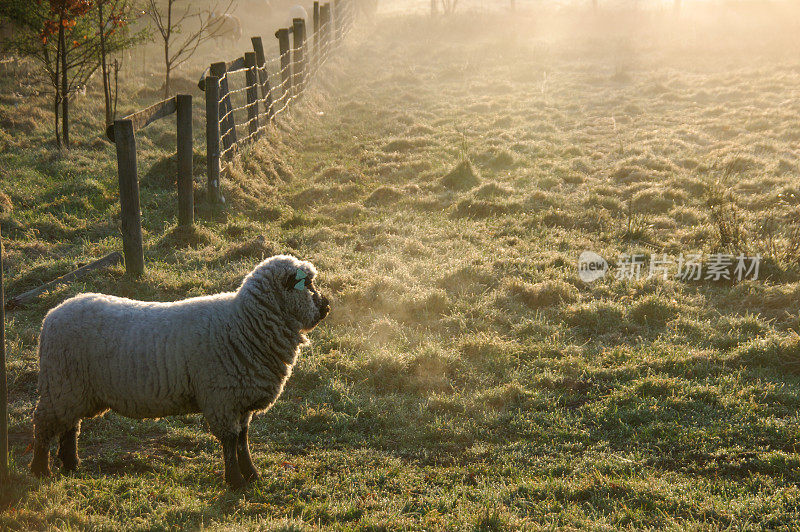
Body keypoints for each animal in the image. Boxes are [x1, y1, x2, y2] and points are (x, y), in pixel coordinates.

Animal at [28, 256, 328, 488]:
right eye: (307, 285)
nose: (326, 306)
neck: (244, 324)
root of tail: (52, 314)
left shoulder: (240, 401)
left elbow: (243, 440)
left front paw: (252, 475)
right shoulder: (221, 399)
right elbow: (230, 441)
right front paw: (235, 482)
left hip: (75, 390)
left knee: (70, 424)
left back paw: (70, 464)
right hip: (60, 382)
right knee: (45, 424)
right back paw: (40, 470)